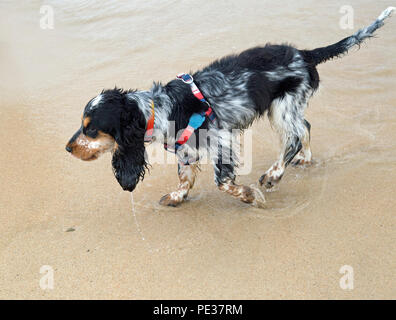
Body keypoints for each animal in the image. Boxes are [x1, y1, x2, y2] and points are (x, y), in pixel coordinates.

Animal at [66, 8, 394, 208]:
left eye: (90, 129)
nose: (68, 148)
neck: (160, 108)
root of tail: (305, 54)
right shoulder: (186, 147)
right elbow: (185, 176)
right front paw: (177, 196)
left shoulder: (221, 139)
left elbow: (223, 181)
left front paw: (250, 195)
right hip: (288, 107)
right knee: (305, 127)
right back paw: (306, 159)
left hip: (282, 106)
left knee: (293, 137)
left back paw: (274, 175)